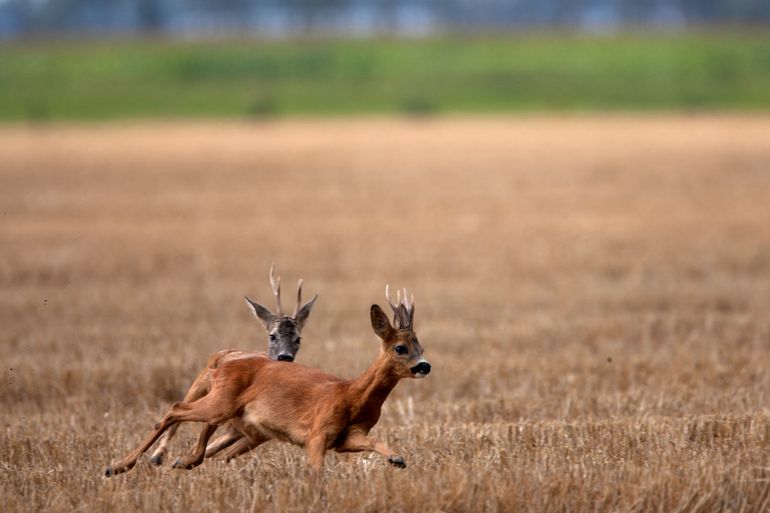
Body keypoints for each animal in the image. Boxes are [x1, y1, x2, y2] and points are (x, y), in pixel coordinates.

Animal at [103, 284, 426, 476]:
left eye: (421, 347)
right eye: (400, 348)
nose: (425, 365)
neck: (352, 395)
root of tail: (226, 362)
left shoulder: (347, 437)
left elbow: (374, 441)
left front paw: (397, 459)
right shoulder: (317, 432)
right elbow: (317, 470)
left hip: (242, 421)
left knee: (203, 436)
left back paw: (177, 461)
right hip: (220, 403)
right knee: (176, 408)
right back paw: (119, 466)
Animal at [147, 262, 316, 466]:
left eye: (298, 339)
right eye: (272, 335)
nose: (285, 356)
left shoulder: (255, 432)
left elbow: (213, 451)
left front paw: (184, 460)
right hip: (200, 384)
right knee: (178, 412)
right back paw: (156, 455)